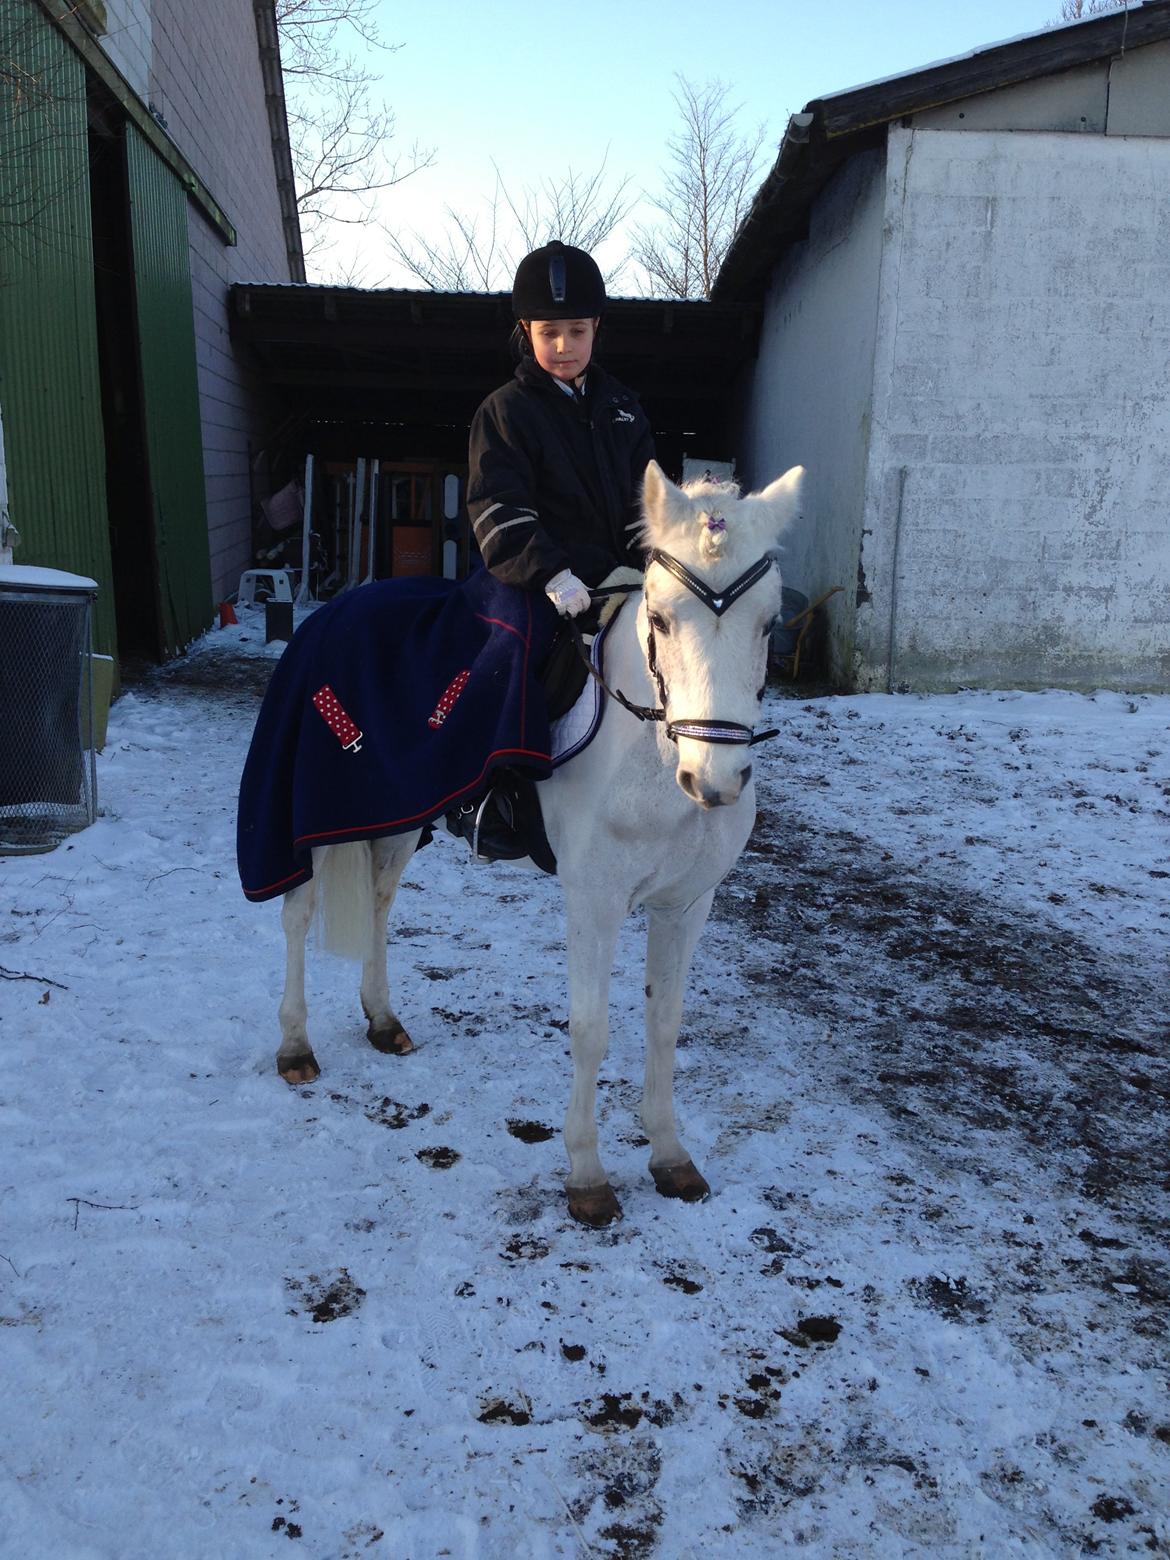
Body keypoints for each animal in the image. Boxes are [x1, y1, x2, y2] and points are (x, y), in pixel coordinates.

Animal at [273, 458, 803, 1226]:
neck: (650, 757)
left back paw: (383, 1020)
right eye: (661, 619)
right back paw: (294, 1046)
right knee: (299, 914)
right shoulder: (594, 902)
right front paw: (586, 1175)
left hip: (397, 816)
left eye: (770, 622)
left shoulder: (685, 905)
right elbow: (590, 1030)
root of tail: (343, 604)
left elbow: (664, 1025)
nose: (714, 779)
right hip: (320, 822)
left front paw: (670, 1155)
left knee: (377, 900)